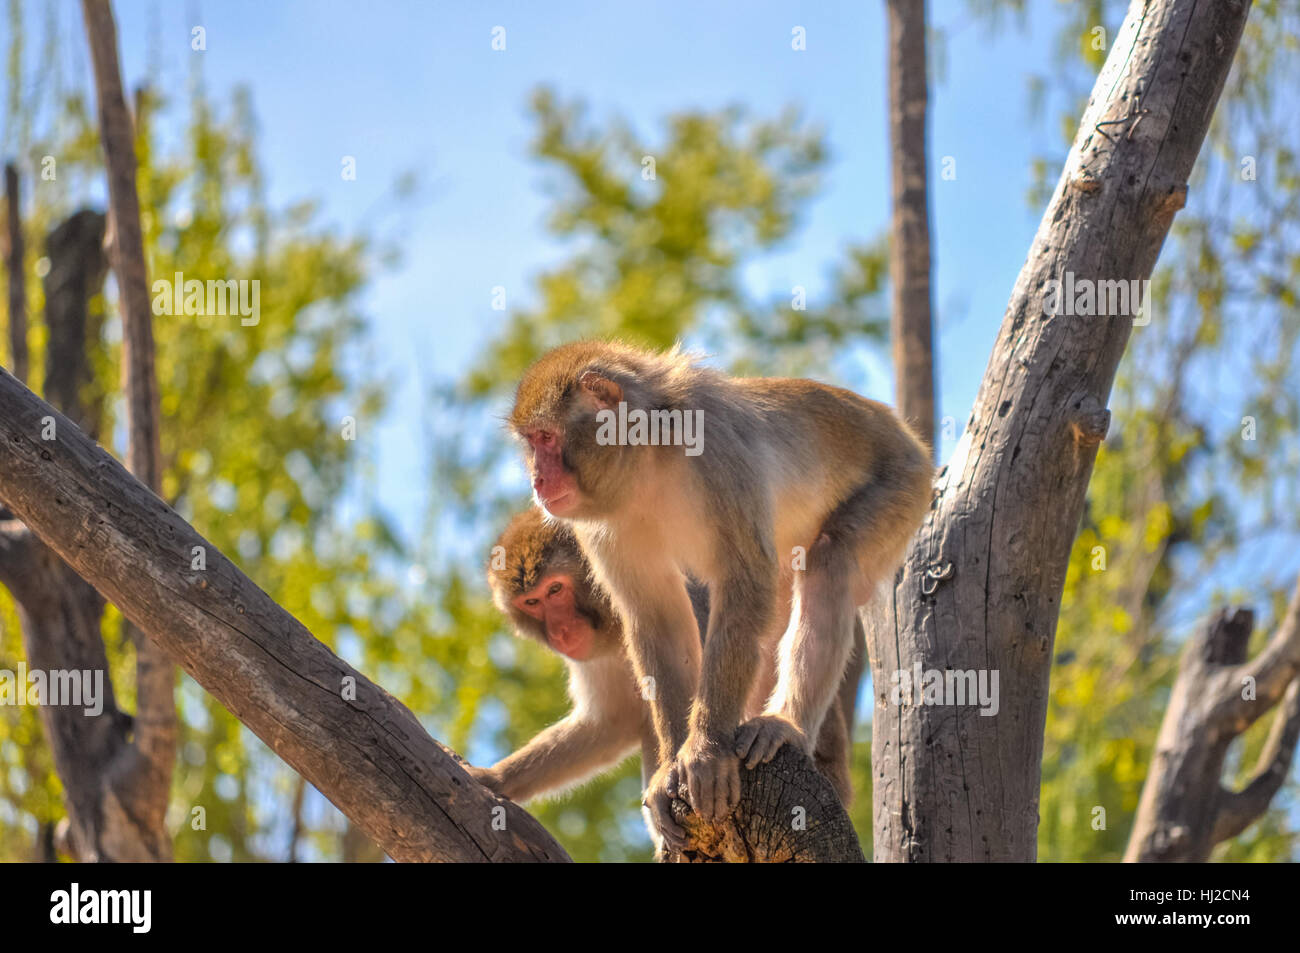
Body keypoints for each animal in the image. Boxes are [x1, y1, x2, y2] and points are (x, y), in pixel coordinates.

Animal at [509, 343, 935, 847]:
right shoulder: (600, 525)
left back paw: (786, 723)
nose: (538, 481)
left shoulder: (717, 451)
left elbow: (744, 582)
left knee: (831, 558)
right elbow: (656, 618)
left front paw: (707, 751)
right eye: (532, 443)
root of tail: (900, 428)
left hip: (902, 483)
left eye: (547, 439)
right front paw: (671, 769)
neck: (648, 461)